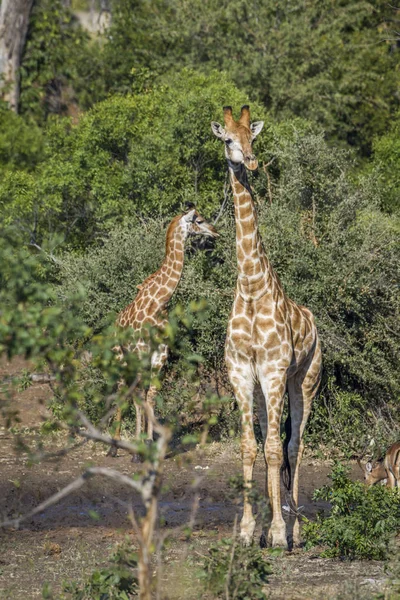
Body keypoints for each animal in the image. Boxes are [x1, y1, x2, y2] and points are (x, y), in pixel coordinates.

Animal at [108, 207, 217, 460]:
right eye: (199, 220)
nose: (215, 231)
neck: (159, 302)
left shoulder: (160, 353)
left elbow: (151, 394)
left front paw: (148, 442)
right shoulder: (140, 351)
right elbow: (141, 396)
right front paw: (138, 449)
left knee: (133, 392)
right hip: (121, 356)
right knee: (122, 391)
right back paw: (113, 445)